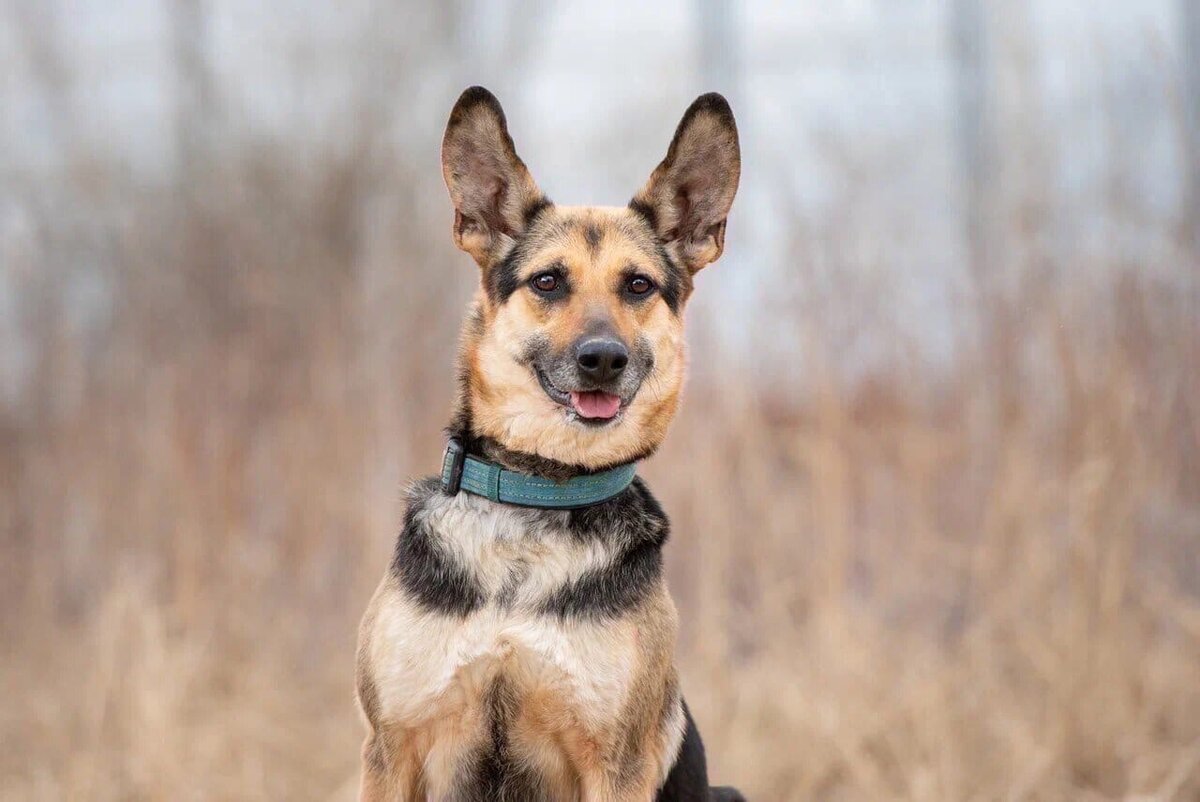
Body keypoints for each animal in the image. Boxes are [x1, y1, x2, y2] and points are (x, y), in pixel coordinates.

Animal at [355, 87, 744, 802]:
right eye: (548, 282)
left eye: (638, 286)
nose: (603, 359)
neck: (536, 501)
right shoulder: (390, 751)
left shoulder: (615, 766)